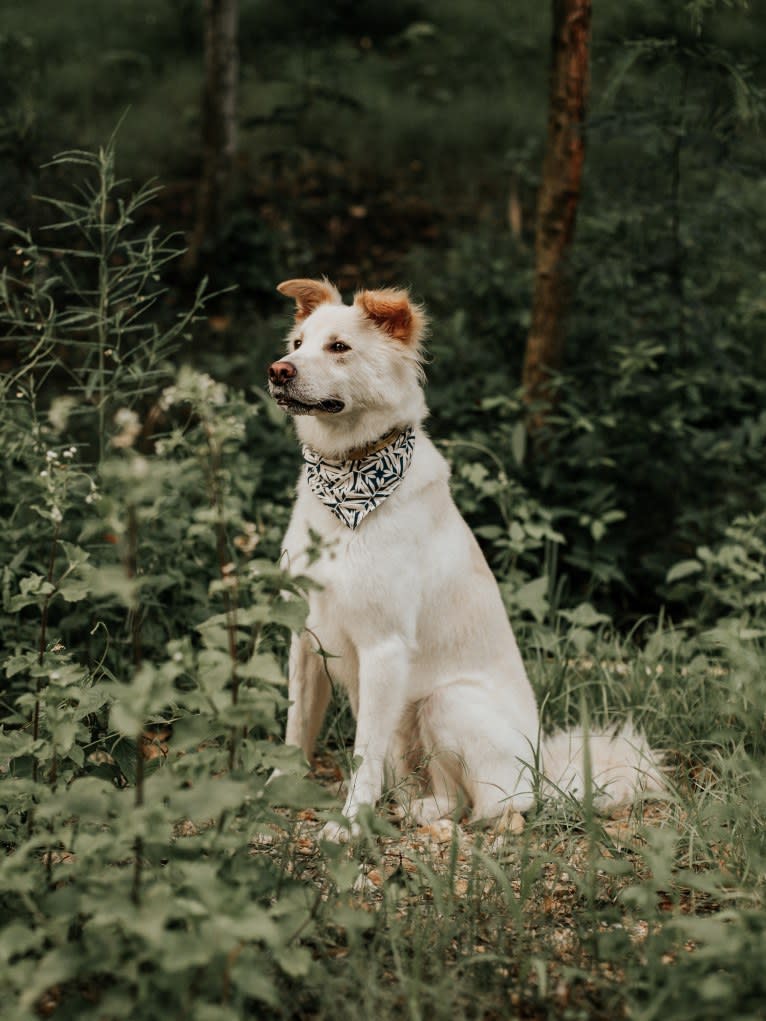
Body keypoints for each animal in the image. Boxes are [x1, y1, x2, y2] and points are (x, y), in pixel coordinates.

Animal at [269, 279, 665, 837]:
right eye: (298, 343)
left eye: (339, 347)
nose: (278, 370)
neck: (349, 476)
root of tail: (544, 771)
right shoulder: (305, 637)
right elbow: (294, 731)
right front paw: (269, 796)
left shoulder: (383, 649)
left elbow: (363, 755)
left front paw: (350, 826)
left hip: (444, 700)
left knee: (490, 805)